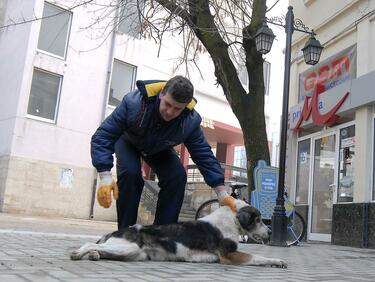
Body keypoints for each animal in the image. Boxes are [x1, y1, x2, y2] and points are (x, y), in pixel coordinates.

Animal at [70, 199, 288, 268]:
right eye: (258, 220)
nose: (270, 231)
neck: (233, 220)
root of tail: (117, 230)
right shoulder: (229, 255)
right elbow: (259, 257)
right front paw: (278, 261)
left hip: (133, 254)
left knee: (101, 249)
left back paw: (93, 255)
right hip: (128, 247)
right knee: (90, 244)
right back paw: (79, 253)